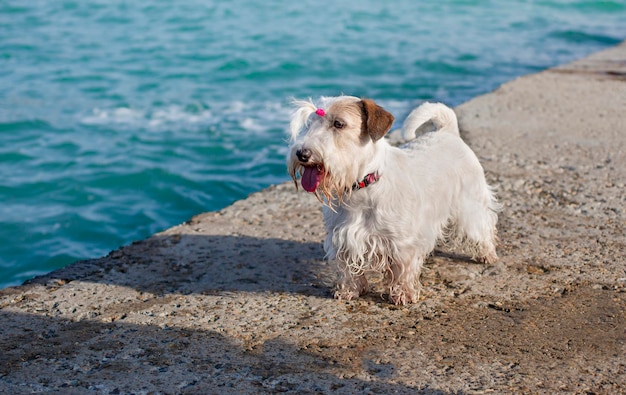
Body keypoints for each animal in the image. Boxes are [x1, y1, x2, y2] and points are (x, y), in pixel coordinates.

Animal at [286, 96, 498, 306]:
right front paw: (348, 291)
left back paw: (487, 255)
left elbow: (402, 270)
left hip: (471, 203)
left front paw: (403, 294)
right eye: (310, 123)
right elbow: (347, 266)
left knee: (483, 227)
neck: (363, 185)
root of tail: (447, 131)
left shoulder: (401, 243)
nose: (302, 154)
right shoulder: (342, 236)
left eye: (339, 124)